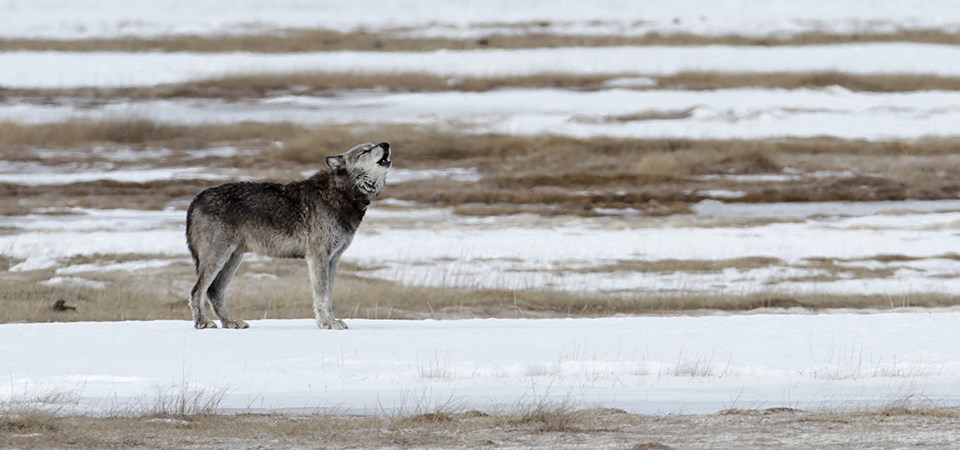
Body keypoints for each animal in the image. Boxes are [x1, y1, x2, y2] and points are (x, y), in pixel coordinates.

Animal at [184, 142, 390, 328]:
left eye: (374, 144)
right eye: (365, 150)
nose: (386, 144)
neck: (342, 193)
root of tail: (196, 199)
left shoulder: (334, 258)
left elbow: (329, 294)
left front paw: (331, 320)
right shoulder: (318, 257)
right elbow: (322, 295)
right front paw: (326, 323)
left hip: (233, 260)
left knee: (214, 292)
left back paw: (230, 322)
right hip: (218, 258)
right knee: (197, 291)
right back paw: (202, 323)